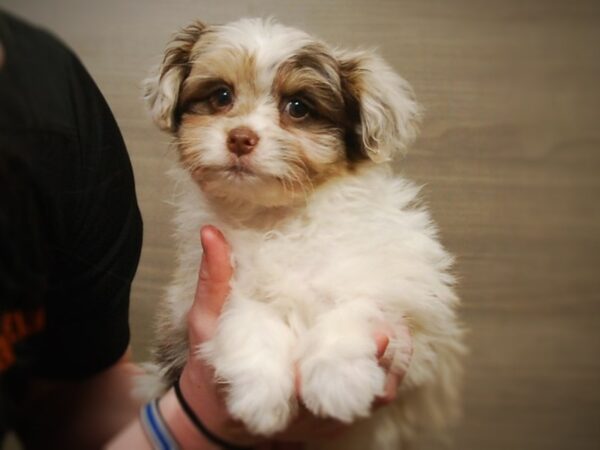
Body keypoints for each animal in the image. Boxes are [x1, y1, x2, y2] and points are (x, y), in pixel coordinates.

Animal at [144, 18, 464, 450]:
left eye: (298, 107)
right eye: (221, 96)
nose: (240, 137)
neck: (279, 219)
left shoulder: (416, 319)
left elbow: (358, 303)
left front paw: (338, 381)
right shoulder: (205, 291)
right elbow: (249, 314)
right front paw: (260, 395)